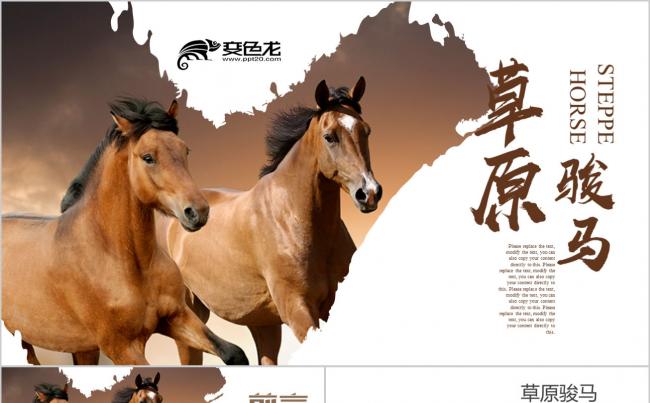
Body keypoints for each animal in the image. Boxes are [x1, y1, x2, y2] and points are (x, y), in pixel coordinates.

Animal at [2, 98, 248, 365]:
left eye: (185, 150)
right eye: (148, 157)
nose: (198, 212)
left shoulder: (176, 316)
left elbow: (235, 353)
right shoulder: (122, 347)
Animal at [162, 77, 382, 364]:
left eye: (366, 131)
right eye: (329, 137)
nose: (369, 193)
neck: (293, 218)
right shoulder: (297, 310)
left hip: (262, 323)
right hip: (192, 314)